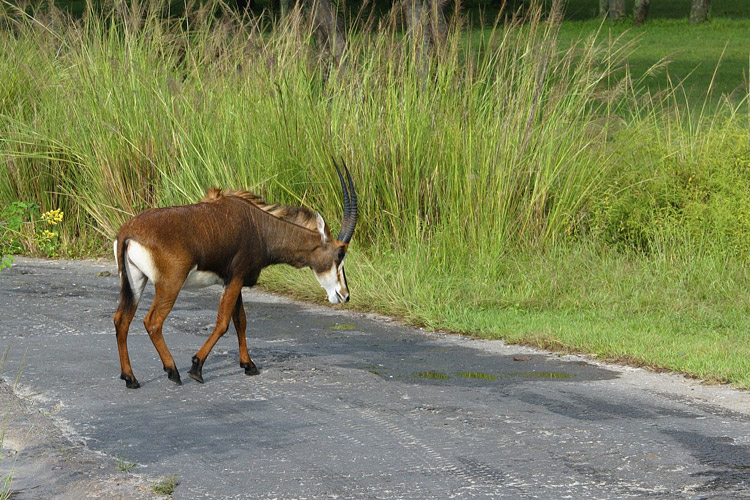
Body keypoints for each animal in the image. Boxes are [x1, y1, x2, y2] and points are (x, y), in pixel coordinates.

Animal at [111, 162, 358, 388]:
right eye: (340, 253)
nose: (344, 295)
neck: (260, 227)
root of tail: (128, 231)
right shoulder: (237, 278)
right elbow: (223, 323)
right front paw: (196, 368)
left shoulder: (233, 281)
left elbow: (241, 321)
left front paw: (248, 365)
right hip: (169, 285)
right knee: (152, 322)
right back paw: (173, 371)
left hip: (135, 282)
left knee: (121, 319)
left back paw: (130, 378)